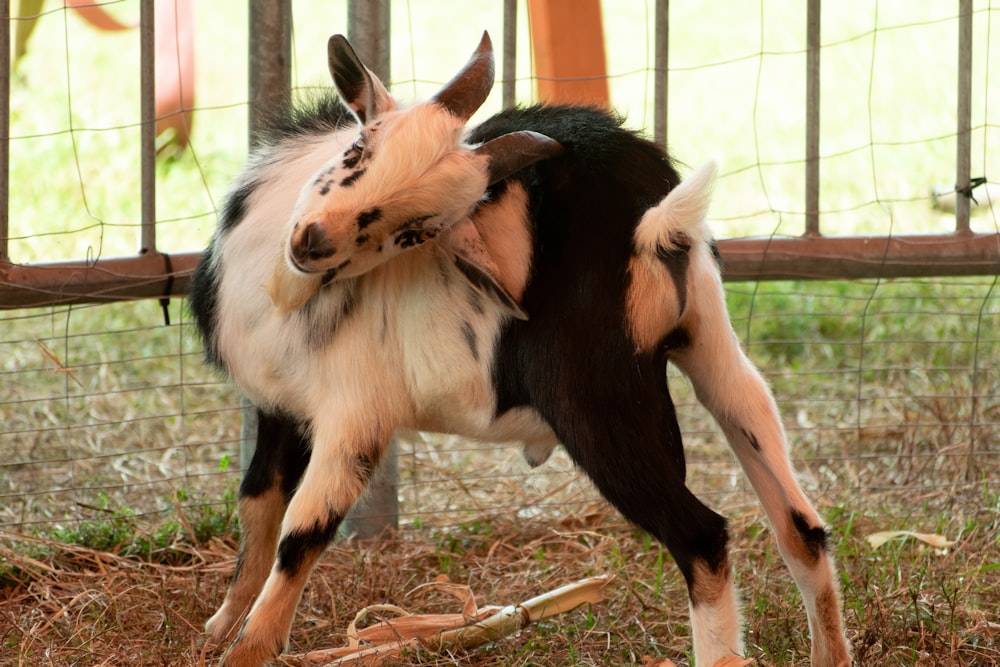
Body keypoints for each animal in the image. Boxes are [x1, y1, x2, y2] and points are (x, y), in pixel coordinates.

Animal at [189, 28, 852, 664]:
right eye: (358, 150)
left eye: (417, 232)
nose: (313, 242)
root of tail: (648, 222)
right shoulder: (279, 403)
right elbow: (258, 502)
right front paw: (219, 627)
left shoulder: (355, 415)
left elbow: (303, 531)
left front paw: (248, 650)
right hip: (712, 347)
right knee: (799, 523)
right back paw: (828, 653)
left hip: (598, 406)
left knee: (702, 535)